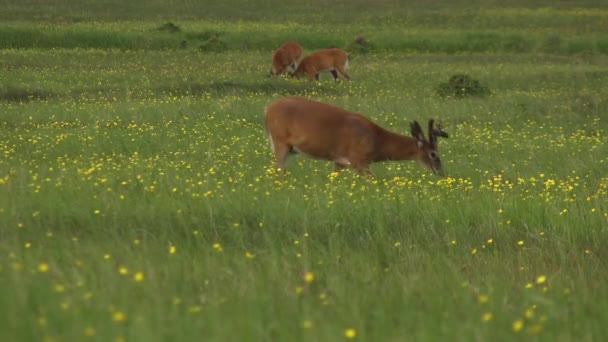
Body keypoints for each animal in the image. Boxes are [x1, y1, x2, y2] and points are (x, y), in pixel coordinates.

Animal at [264, 96, 448, 176]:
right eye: (434, 154)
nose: (440, 172)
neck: (377, 140)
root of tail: (268, 109)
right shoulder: (359, 159)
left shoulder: (339, 161)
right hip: (280, 141)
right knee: (278, 170)